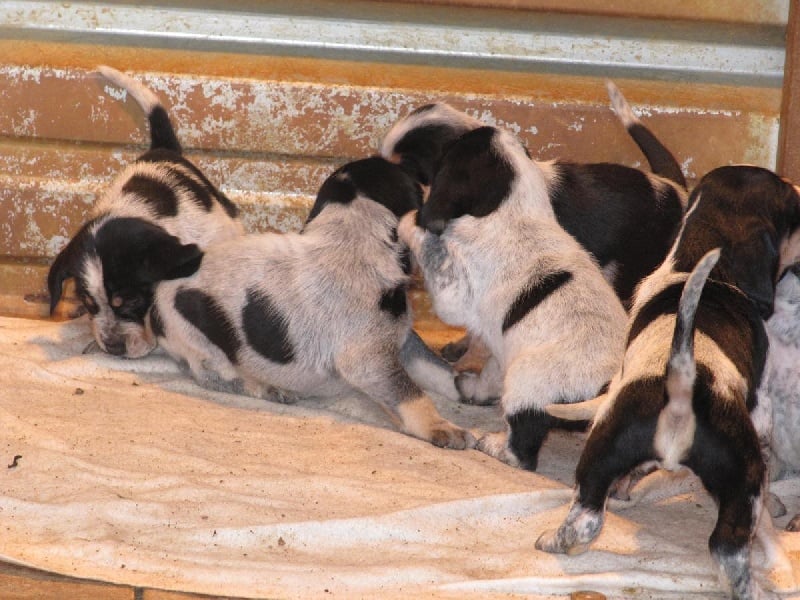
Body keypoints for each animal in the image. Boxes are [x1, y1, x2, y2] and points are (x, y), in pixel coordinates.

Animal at [147, 157, 476, 448]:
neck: (354, 240)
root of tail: (153, 306)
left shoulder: (403, 340)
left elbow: (439, 370)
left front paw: (472, 389)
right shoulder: (370, 360)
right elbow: (411, 393)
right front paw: (444, 429)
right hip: (199, 345)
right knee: (219, 378)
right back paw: (272, 389)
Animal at [396, 126, 628, 472]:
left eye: (450, 150)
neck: (513, 210)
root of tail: (607, 385)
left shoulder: (452, 294)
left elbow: (422, 235)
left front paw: (408, 219)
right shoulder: (500, 343)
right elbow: (491, 370)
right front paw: (474, 389)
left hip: (527, 385)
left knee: (522, 451)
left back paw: (493, 445)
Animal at [536, 165, 800, 600]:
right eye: (789, 207)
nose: (797, 188)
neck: (694, 262)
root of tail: (682, 386)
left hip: (605, 456)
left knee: (587, 519)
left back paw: (554, 542)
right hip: (742, 480)